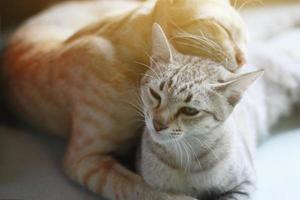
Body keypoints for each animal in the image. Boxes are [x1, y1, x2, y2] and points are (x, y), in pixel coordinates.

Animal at [138, 19, 300, 200]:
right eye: (155, 94)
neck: (184, 159)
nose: (157, 124)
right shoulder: (150, 186)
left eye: (190, 111)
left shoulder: (243, 184)